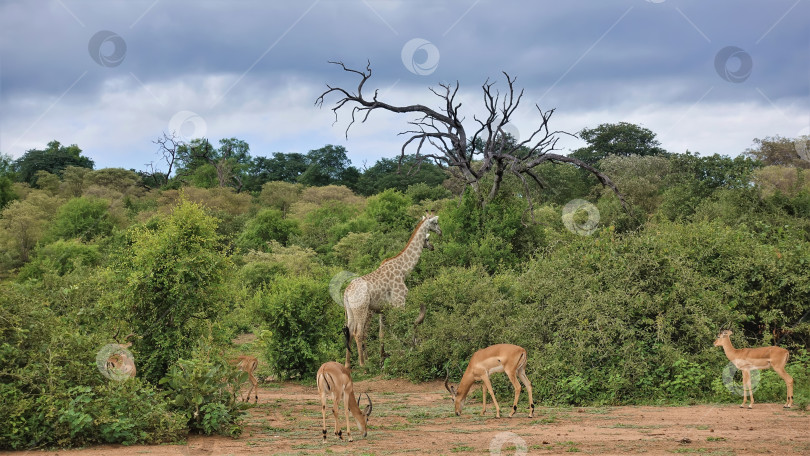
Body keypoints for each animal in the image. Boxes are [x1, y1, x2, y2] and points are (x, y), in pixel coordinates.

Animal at [342, 214, 438, 366]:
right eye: (435, 223)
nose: (432, 246)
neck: (403, 269)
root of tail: (346, 292)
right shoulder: (399, 301)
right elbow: (403, 324)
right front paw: (408, 351)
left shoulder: (384, 308)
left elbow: (382, 333)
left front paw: (383, 357)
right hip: (362, 310)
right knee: (359, 333)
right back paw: (364, 365)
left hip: (351, 311)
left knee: (350, 332)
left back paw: (348, 365)